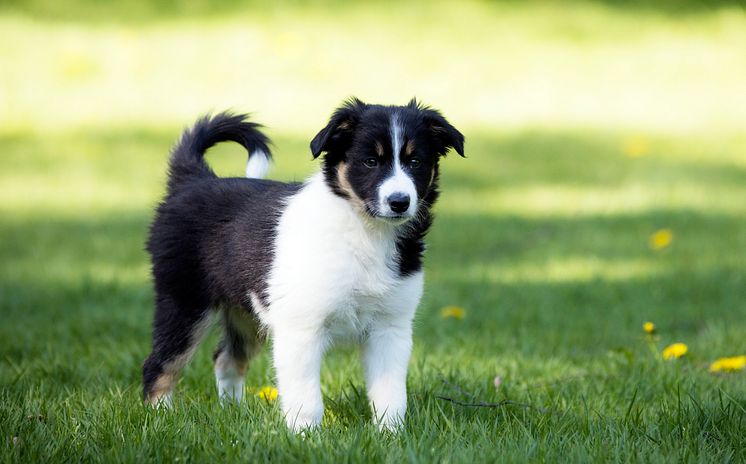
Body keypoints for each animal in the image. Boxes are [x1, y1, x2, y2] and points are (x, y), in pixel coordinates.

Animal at [142, 98, 462, 432]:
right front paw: (305, 436)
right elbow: (306, 396)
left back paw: (234, 413)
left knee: (226, 358)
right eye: (370, 162)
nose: (399, 202)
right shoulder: (301, 327)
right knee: (159, 364)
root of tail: (195, 180)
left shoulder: (391, 327)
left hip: (246, 311)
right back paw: (161, 418)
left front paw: (390, 435)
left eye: (416, 162)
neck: (365, 231)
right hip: (184, 301)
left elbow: (390, 393)